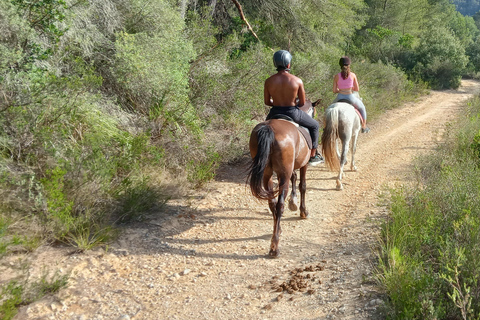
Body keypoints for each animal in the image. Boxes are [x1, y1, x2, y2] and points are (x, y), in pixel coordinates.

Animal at [246, 100, 316, 258]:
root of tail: (269, 128)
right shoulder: (303, 165)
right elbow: (303, 186)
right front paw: (303, 211)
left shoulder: (289, 168)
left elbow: (294, 179)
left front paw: (293, 202)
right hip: (283, 174)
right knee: (279, 205)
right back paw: (275, 246)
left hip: (267, 174)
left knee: (272, 203)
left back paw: (277, 232)